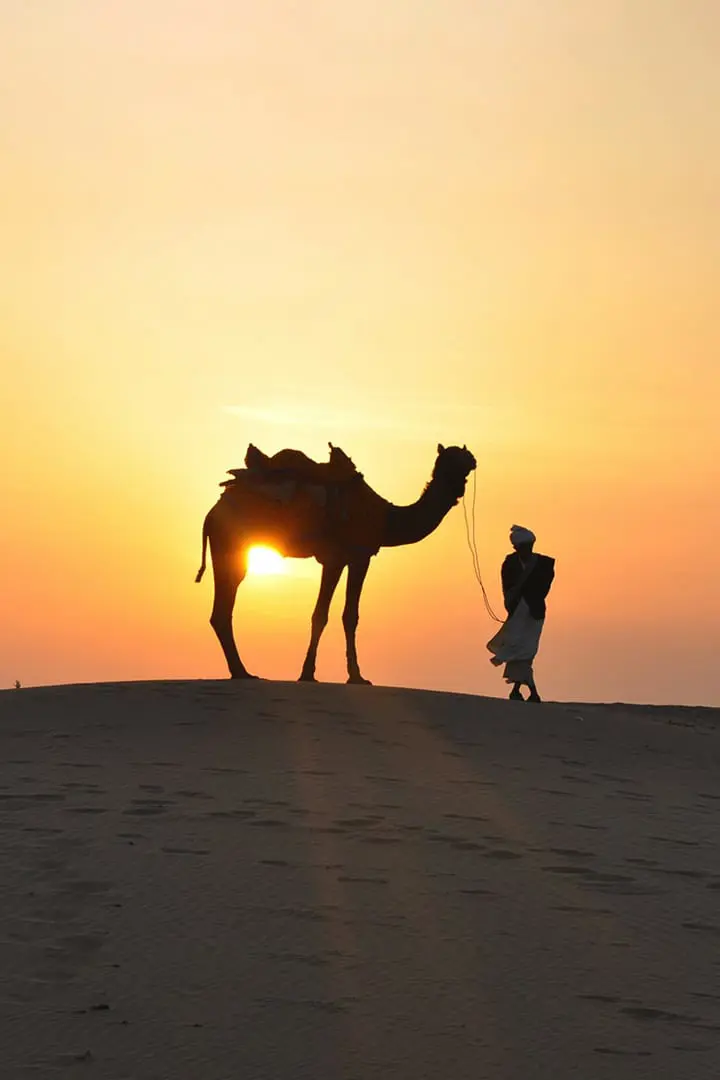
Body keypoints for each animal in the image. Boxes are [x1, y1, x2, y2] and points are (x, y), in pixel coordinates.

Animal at [195, 442, 477, 683]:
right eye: (452, 458)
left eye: (463, 456)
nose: (473, 460)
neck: (386, 518)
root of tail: (211, 513)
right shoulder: (351, 557)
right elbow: (334, 615)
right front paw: (338, 676)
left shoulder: (345, 559)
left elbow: (337, 615)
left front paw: (332, 674)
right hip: (231, 546)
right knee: (223, 609)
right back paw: (242, 672)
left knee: (221, 610)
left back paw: (241, 671)